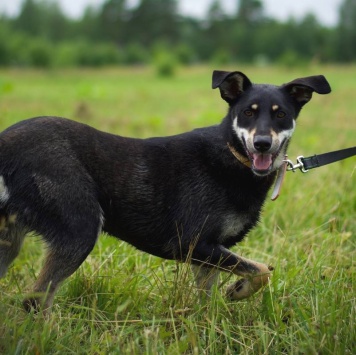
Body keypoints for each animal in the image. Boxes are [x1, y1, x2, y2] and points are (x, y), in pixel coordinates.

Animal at [0, 70, 330, 312]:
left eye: (281, 114)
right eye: (248, 113)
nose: (262, 144)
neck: (231, 154)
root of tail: (6, 145)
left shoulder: (207, 255)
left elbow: (209, 304)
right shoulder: (193, 244)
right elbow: (261, 269)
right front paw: (239, 290)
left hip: (9, 241)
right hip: (79, 230)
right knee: (35, 301)